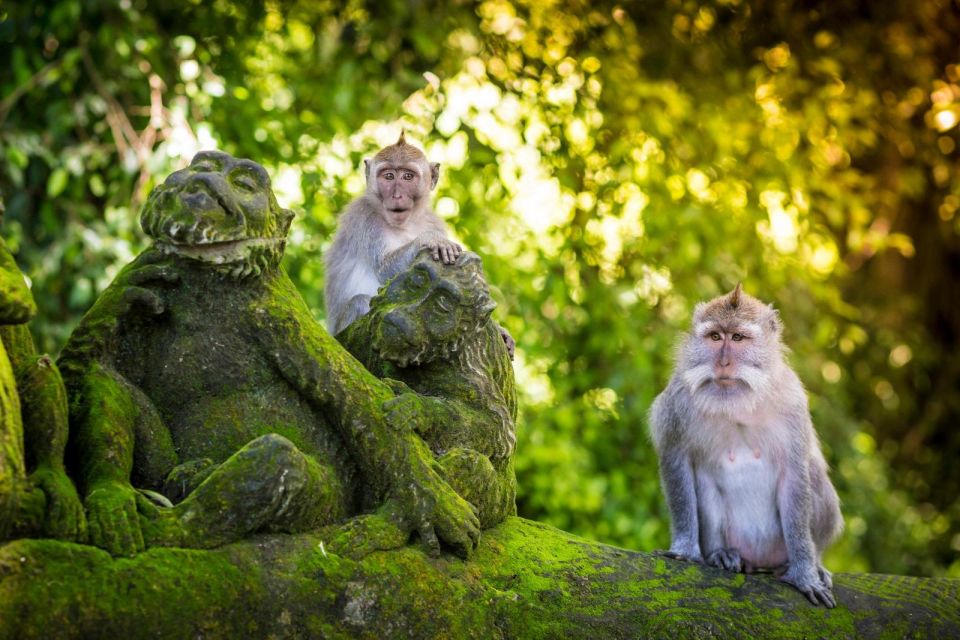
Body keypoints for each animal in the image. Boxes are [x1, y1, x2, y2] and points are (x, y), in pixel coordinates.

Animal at [323, 132, 464, 337]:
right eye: (389, 176)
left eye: (408, 176)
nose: (396, 196)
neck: (406, 224)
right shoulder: (365, 218)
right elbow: (383, 269)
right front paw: (429, 239)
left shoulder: (434, 222)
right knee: (360, 301)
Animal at [648, 284, 842, 608]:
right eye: (716, 337)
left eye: (738, 338)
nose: (723, 363)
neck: (737, 402)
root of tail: (759, 561)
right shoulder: (678, 401)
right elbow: (676, 460)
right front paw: (686, 549)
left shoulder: (792, 402)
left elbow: (795, 474)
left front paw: (805, 573)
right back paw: (721, 554)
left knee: (814, 475)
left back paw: (808, 563)